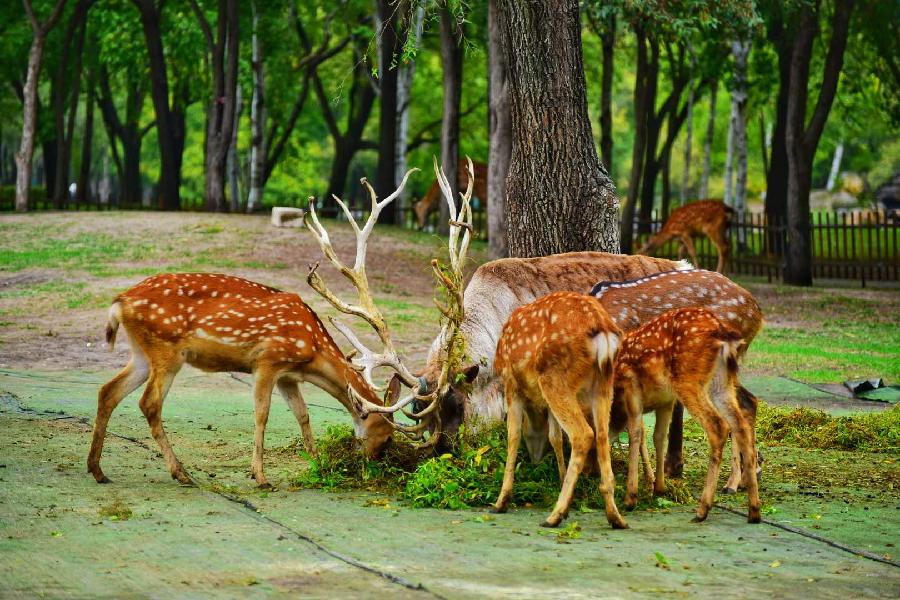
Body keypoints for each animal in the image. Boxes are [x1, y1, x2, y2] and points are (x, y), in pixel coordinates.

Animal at [88, 272, 400, 488]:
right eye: (386, 437)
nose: (370, 467)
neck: (312, 349)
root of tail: (119, 302)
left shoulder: (288, 376)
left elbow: (303, 414)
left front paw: (318, 463)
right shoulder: (267, 361)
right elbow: (262, 414)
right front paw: (260, 476)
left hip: (142, 353)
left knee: (108, 391)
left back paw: (97, 470)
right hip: (167, 349)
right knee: (149, 403)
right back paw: (181, 473)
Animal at [492, 292, 627, 529]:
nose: (535, 459)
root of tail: (603, 329)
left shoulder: (510, 383)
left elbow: (513, 436)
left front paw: (501, 502)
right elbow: (555, 437)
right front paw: (563, 481)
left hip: (554, 376)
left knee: (583, 434)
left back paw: (555, 515)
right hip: (603, 384)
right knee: (602, 436)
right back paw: (615, 517)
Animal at [609, 307, 761, 524]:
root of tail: (723, 334)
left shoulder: (632, 388)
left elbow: (636, 434)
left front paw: (631, 497)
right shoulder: (665, 401)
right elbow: (657, 436)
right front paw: (658, 487)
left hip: (688, 379)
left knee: (719, 425)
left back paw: (703, 510)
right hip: (721, 382)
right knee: (740, 422)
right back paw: (753, 510)